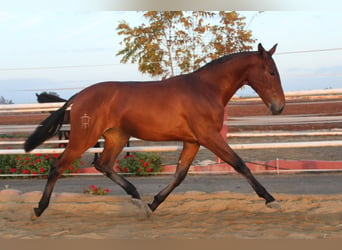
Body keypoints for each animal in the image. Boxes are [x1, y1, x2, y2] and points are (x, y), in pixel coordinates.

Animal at [24, 44, 286, 220]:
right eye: (271, 72)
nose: (279, 107)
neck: (205, 89)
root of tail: (79, 96)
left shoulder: (192, 141)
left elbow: (179, 175)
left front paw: (153, 205)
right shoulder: (208, 136)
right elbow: (240, 164)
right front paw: (271, 200)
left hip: (117, 137)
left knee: (103, 164)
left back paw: (137, 199)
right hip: (84, 138)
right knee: (58, 166)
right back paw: (38, 209)